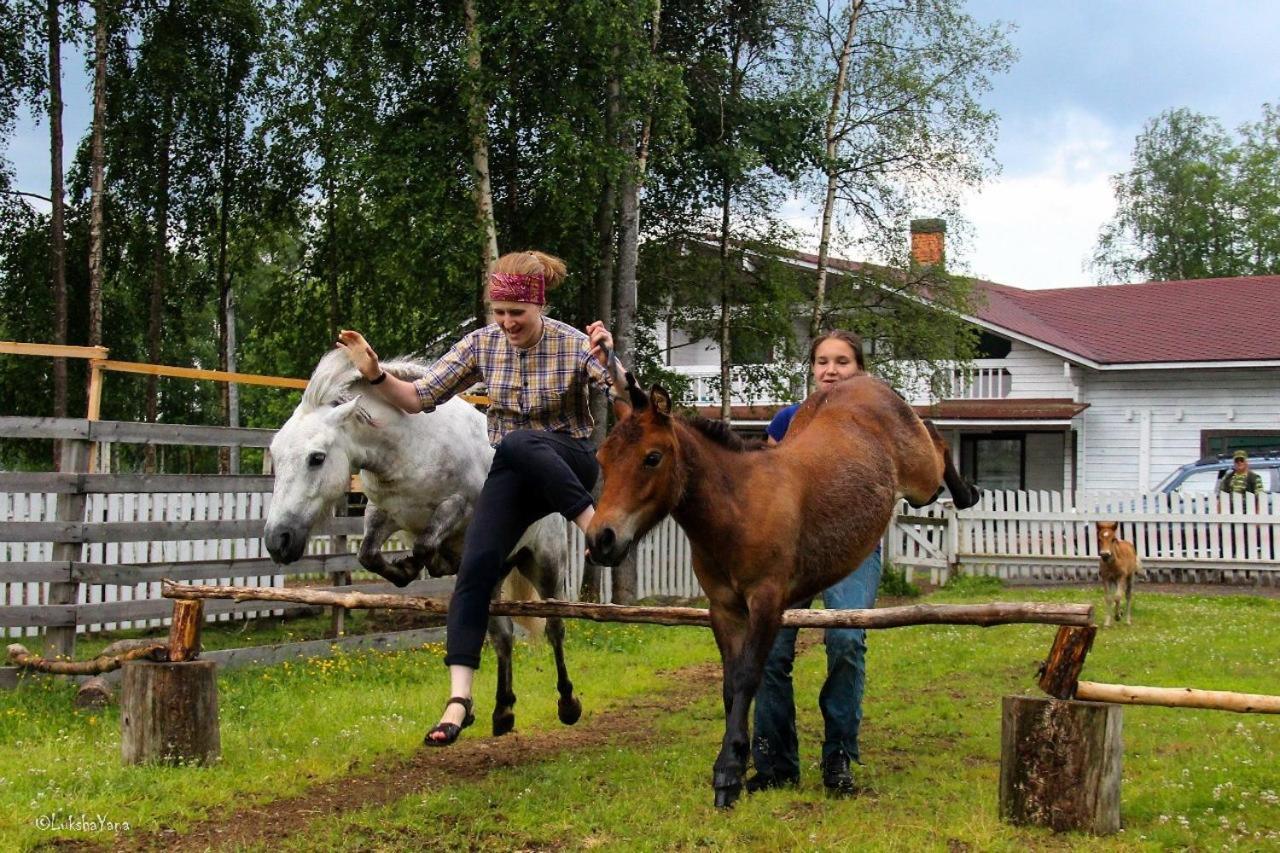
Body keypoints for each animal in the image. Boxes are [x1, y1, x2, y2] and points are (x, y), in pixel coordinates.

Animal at [264, 348, 586, 732]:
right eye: (276, 455)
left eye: (316, 458)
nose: (277, 540)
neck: (408, 447)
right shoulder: (383, 513)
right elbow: (369, 555)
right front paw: (408, 570)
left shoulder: (457, 507)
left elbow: (424, 544)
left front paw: (421, 564)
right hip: (491, 576)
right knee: (502, 635)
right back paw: (502, 711)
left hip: (545, 563)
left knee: (555, 626)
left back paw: (567, 703)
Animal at [588, 371, 977, 804]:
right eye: (602, 459)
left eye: (652, 457)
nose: (601, 539)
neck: (739, 507)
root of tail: (864, 380)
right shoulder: (724, 608)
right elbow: (731, 684)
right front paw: (740, 765)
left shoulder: (766, 601)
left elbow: (746, 678)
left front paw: (728, 772)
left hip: (921, 477)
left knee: (936, 437)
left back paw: (967, 492)